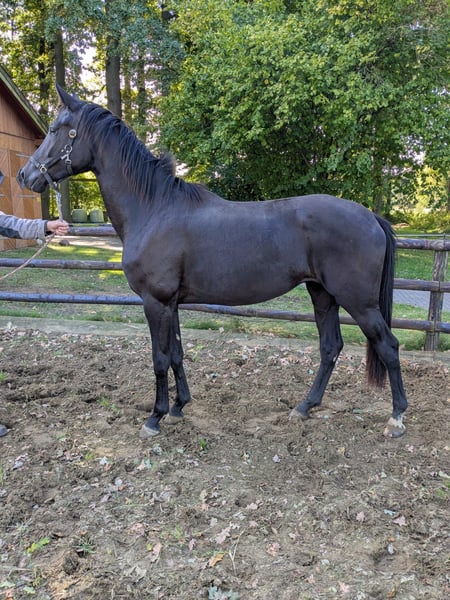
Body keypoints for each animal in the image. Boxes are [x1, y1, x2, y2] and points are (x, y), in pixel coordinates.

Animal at [17, 84, 408, 440]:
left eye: (56, 128)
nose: (25, 175)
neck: (153, 208)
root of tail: (371, 217)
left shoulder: (155, 302)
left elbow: (159, 359)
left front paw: (155, 418)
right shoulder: (171, 303)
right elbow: (176, 353)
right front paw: (179, 407)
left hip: (359, 302)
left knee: (388, 346)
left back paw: (396, 418)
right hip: (322, 294)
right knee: (330, 348)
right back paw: (304, 407)